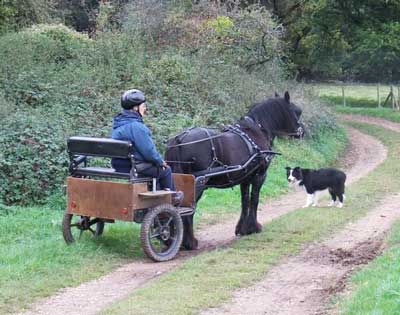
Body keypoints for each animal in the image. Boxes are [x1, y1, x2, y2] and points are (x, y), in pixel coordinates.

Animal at [165, 92, 304, 252]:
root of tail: (179, 139)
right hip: (197, 183)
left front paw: (242, 229)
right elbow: (254, 199)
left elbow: (244, 200)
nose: (302, 131)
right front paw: (254, 227)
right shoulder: (260, 176)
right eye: (297, 111)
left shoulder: (245, 178)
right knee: (188, 211)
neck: (258, 130)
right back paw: (189, 242)